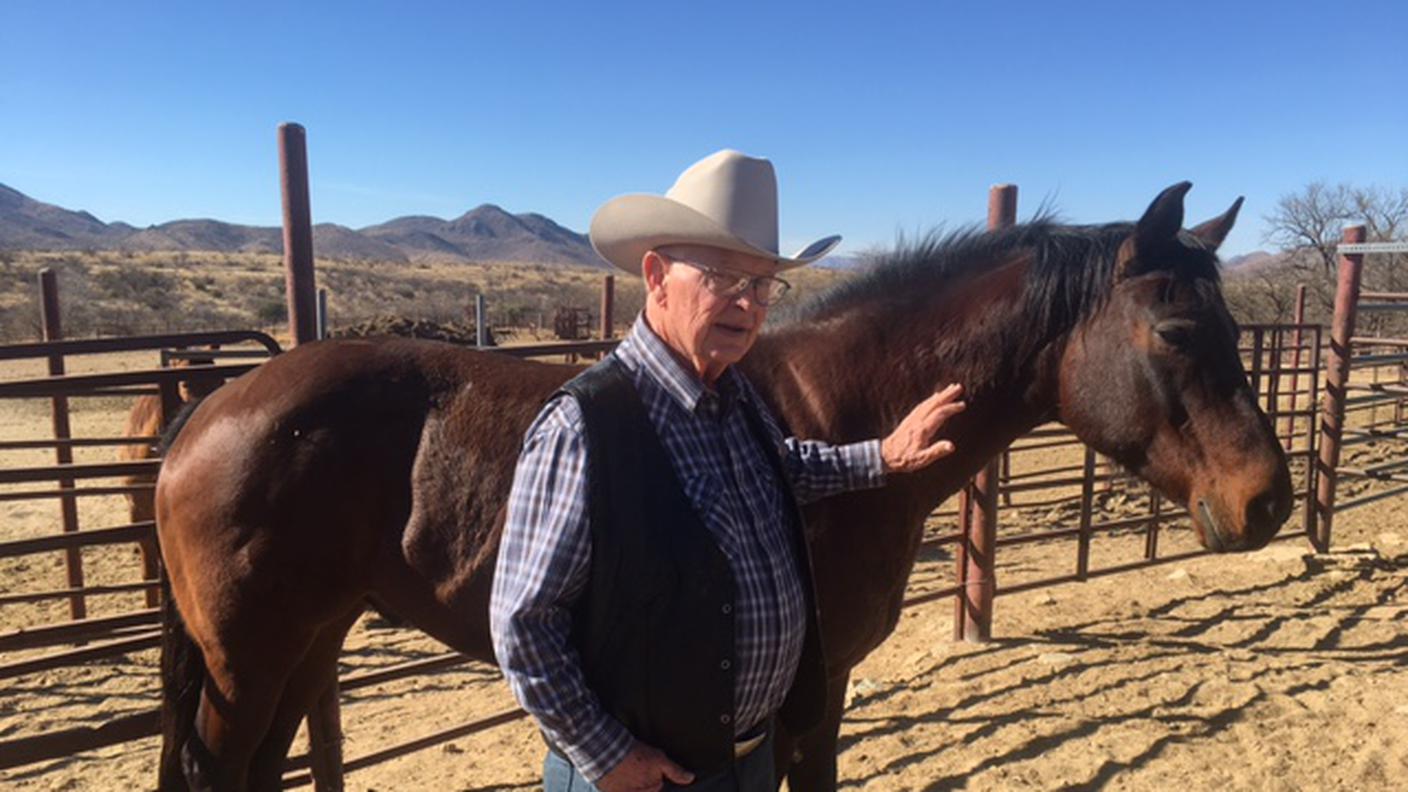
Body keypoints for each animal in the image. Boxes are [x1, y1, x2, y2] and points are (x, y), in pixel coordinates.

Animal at [156, 184, 1295, 789]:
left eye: (1233, 330)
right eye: (1176, 331)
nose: (1269, 501)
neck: (834, 413)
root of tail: (206, 415)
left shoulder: (814, 690)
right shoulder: (808, 688)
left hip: (309, 640)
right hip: (251, 660)